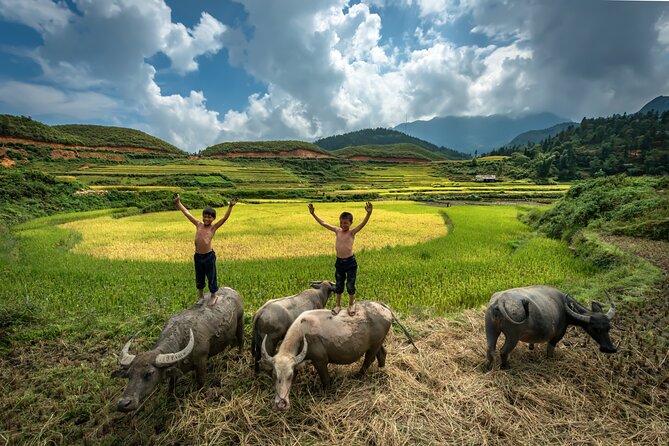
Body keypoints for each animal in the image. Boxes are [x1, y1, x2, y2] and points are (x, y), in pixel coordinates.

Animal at [111, 288, 244, 412]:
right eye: (129, 375)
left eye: (149, 373)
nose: (123, 404)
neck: (181, 340)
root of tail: (232, 290)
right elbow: (171, 384)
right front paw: (169, 397)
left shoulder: (201, 360)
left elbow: (201, 381)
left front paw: (205, 394)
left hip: (240, 321)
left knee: (241, 340)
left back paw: (240, 356)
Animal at [260, 300, 412, 412]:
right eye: (273, 375)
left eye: (290, 375)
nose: (281, 404)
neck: (303, 333)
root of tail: (383, 307)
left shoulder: (320, 361)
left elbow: (326, 380)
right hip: (378, 343)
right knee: (382, 354)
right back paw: (381, 370)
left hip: (374, 345)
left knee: (369, 359)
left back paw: (359, 376)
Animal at [486, 286, 616, 370]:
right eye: (595, 328)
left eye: (609, 327)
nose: (610, 349)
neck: (565, 310)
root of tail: (500, 301)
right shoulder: (557, 336)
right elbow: (550, 350)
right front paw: (550, 359)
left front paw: (531, 347)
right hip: (513, 336)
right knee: (503, 351)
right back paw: (505, 367)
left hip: (490, 329)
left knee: (490, 350)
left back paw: (488, 367)